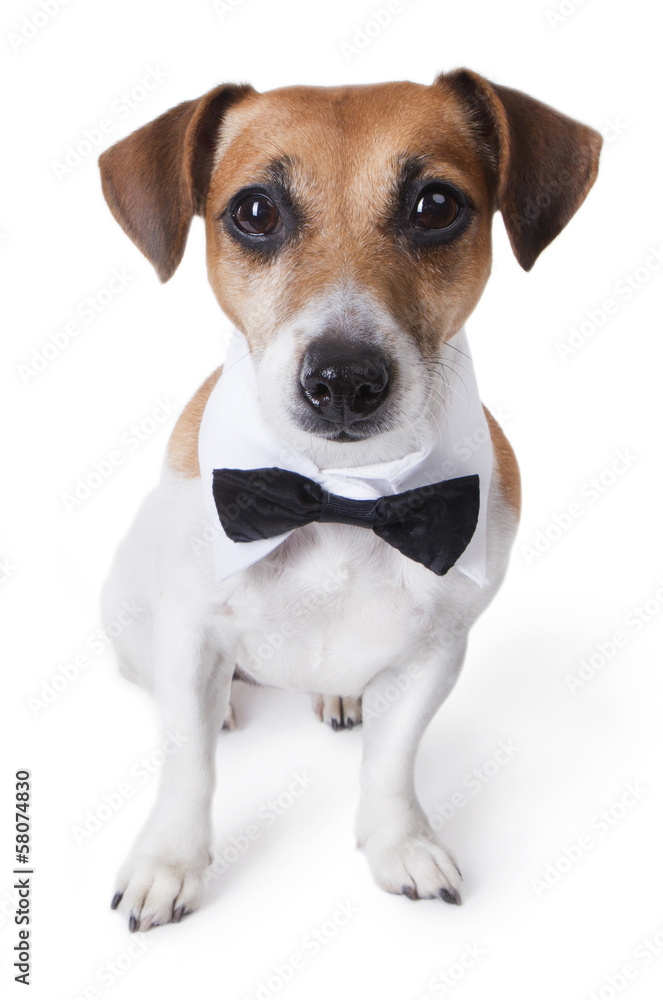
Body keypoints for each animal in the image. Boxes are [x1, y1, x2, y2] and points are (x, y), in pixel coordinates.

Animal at [97, 68, 600, 928]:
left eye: (435, 205)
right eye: (254, 212)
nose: (342, 379)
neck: (340, 494)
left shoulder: (436, 648)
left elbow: (392, 762)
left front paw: (400, 843)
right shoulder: (190, 631)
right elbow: (188, 762)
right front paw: (168, 862)